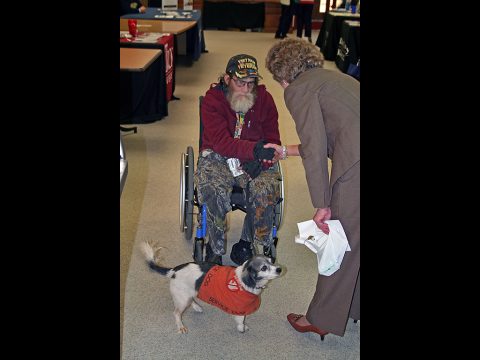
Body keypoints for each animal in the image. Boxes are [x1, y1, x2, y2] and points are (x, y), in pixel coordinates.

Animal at [141, 240, 284, 334]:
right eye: (264, 268)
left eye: (271, 261)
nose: (280, 269)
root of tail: (174, 270)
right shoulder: (239, 310)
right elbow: (240, 322)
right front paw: (242, 329)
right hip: (182, 299)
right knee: (176, 313)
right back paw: (180, 326)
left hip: (188, 294)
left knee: (191, 301)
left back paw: (197, 307)